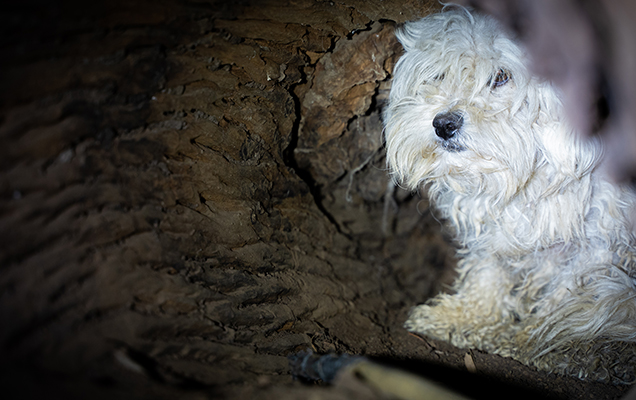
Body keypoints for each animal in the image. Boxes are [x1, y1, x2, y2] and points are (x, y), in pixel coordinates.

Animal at [386, 5, 636, 382]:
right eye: (438, 75)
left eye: (501, 77)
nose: (443, 124)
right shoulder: (493, 236)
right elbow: (488, 273)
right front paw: (464, 318)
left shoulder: (597, 249)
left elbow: (561, 298)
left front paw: (530, 342)